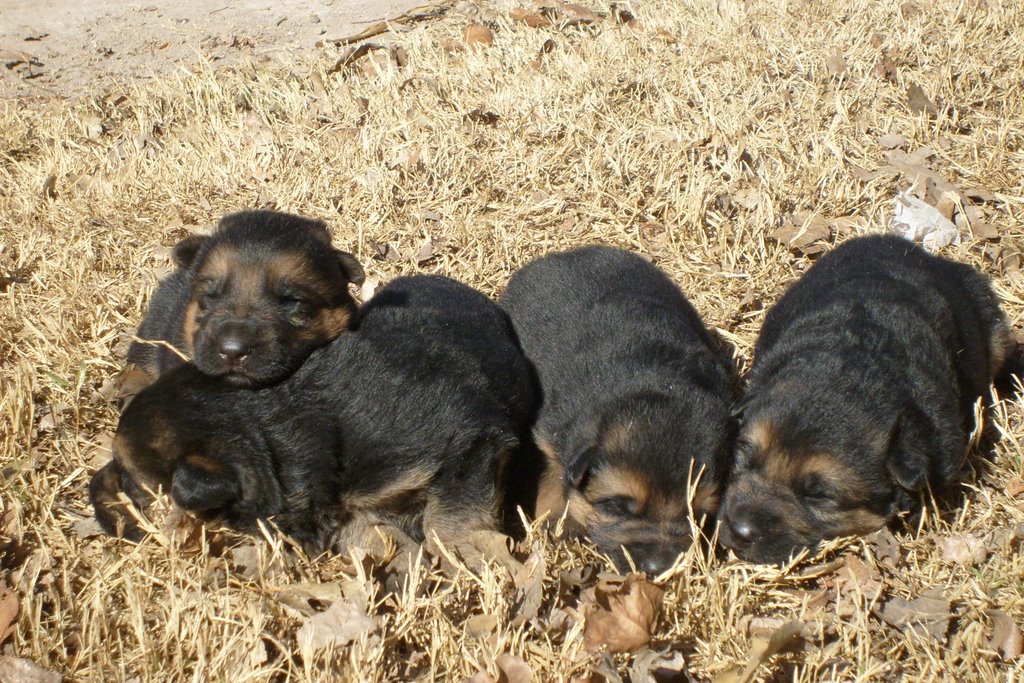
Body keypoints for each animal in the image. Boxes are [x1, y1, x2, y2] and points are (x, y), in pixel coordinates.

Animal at [497, 245, 733, 577]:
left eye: (699, 514)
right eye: (617, 505)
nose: (659, 567)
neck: (654, 378)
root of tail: (567, 253)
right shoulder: (547, 436)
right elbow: (552, 476)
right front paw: (558, 521)